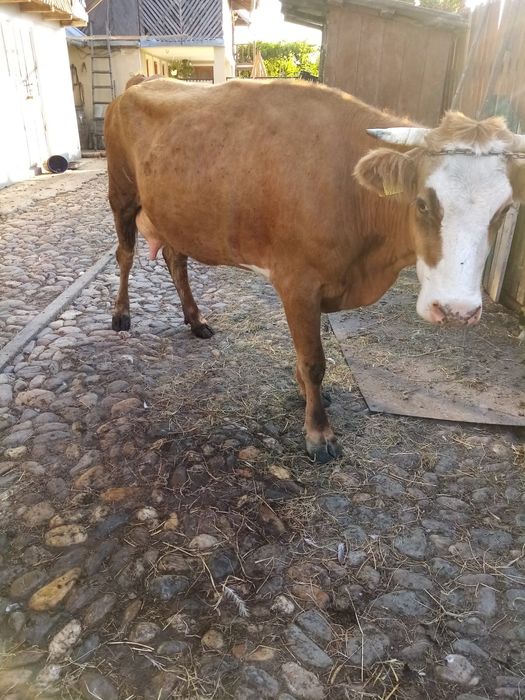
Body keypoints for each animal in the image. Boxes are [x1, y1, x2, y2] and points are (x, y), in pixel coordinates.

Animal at [104, 77, 525, 463]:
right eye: (422, 203)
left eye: (504, 210)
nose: (456, 310)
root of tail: (140, 82)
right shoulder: (298, 282)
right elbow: (314, 361)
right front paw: (319, 433)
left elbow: (306, 352)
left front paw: (304, 394)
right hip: (121, 193)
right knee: (125, 255)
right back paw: (121, 314)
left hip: (174, 214)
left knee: (176, 260)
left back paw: (195, 320)